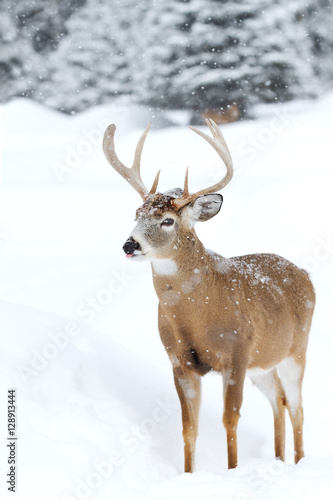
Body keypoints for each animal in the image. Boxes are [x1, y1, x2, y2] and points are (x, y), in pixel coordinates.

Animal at [102, 120, 316, 472]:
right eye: (136, 214)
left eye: (167, 220)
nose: (129, 245)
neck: (199, 315)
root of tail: (305, 274)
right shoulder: (179, 360)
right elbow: (189, 427)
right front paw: (189, 474)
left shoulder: (238, 351)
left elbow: (230, 419)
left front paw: (233, 470)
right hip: (263, 362)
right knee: (279, 399)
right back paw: (278, 459)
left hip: (296, 350)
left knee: (297, 405)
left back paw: (298, 462)